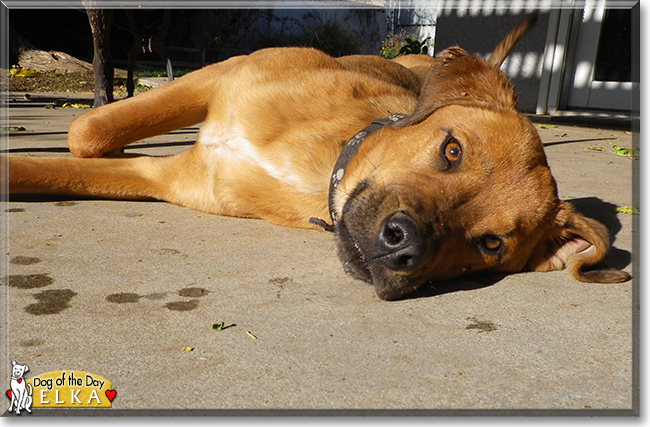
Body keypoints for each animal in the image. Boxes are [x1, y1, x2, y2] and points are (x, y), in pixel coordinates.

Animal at [1, 18, 628, 300]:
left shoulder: (164, 178)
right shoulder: (219, 76)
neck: (320, 167)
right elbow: (85, 130)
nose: (403, 248)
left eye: (491, 245)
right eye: (452, 150)